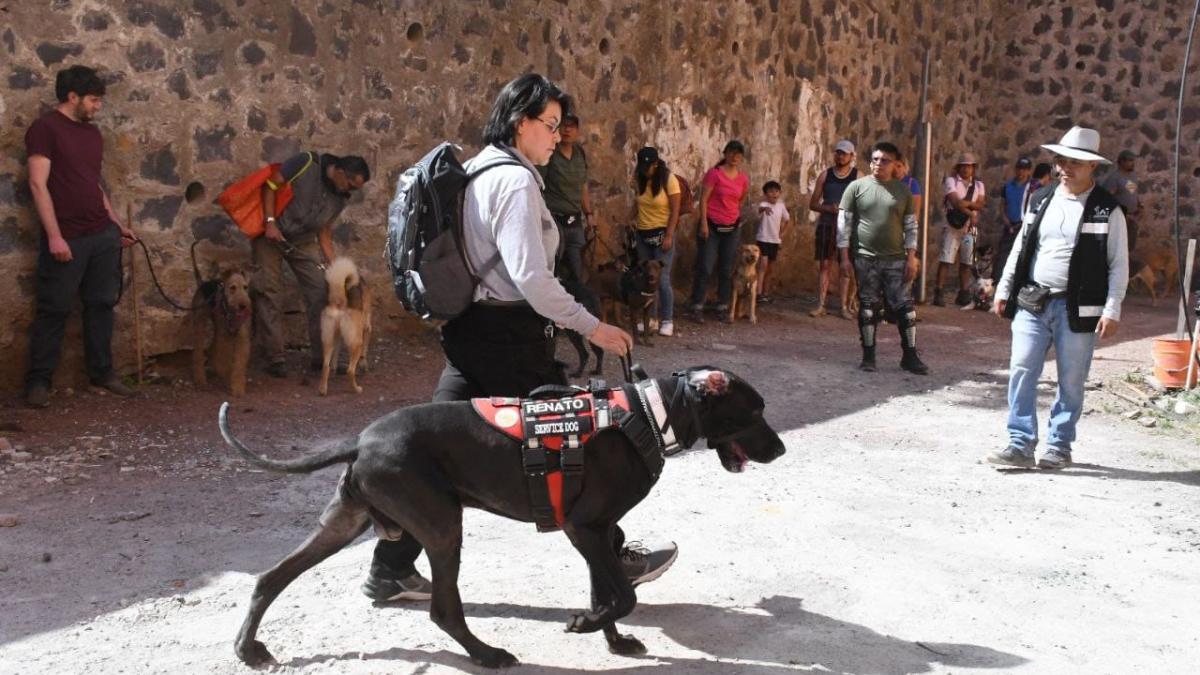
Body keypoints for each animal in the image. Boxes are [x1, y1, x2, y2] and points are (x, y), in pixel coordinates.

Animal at [220, 367, 787, 667]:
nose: (781, 450)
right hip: (443, 528)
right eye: (755, 411)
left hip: (344, 522)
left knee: (268, 579)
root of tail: (361, 441)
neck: (648, 414)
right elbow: (623, 595)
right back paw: (487, 655)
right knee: (444, 611)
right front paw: (585, 626)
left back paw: (247, 648)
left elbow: (607, 592)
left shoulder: (597, 531)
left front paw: (614, 640)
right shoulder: (583, 528)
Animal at [321, 257, 372, 393]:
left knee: (325, 366)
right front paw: (364, 365)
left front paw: (335, 368)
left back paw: (323, 390)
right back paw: (356, 389)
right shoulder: (367, 329)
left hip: (328, 340)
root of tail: (340, 302)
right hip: (356, 342)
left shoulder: (338, 337)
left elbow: (335, 357)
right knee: (350, 370)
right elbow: (364, 352)